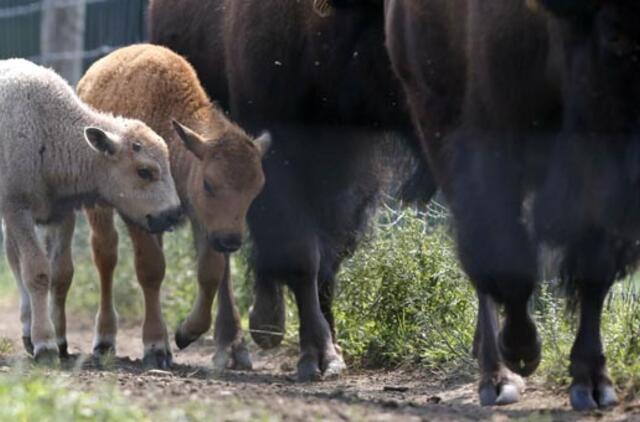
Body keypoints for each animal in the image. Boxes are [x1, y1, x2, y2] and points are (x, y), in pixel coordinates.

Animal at [0, 59, 181, 362]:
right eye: (144, 171)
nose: (173, 214)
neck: (48, 129)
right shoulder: (17, 209)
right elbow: (37, 272)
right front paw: (45, 345)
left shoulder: (62, 214)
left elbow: (60, 274)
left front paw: (59, 341)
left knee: (14, 259)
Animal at [76, 44, 268, 368]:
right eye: (208, 183)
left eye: (256, 190)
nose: (231, 241)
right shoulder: (139, 215)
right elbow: (151, 269)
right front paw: (156, 347)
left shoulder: (202, 221)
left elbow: (210, 271)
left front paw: (185, 333)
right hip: (100, 210)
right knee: (106, 257)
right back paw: (104, 342)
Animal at [149, 0, 436, 380]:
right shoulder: (274, 163)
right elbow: (302, 256)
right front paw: (317, 355)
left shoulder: (350, 180)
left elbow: (329, 260)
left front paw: (332, 350)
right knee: (218, 248)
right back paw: (235, 344)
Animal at [384, 0, 640, 410]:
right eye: (613, 35)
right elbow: (508, 265)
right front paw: (522, 352)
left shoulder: (595, 196)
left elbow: (594, 275)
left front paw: (593, 383)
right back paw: (498, 376)